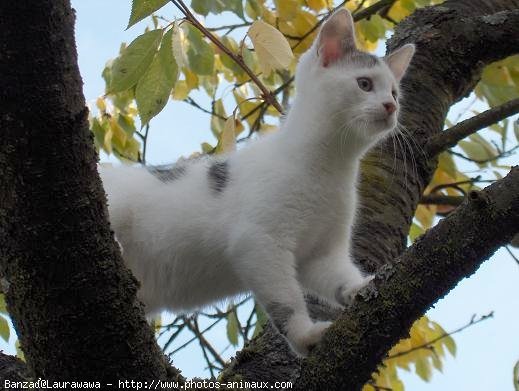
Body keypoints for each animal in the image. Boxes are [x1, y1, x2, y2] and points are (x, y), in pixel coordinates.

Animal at [99, 8, 416, 358]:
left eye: (395, 93)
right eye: (364, 84)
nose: (391, 107)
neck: (330, 166)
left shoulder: (320, 253)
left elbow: (337, 276)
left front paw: (362, 285)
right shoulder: (259, 241)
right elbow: (285, 301)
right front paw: (304, 335)